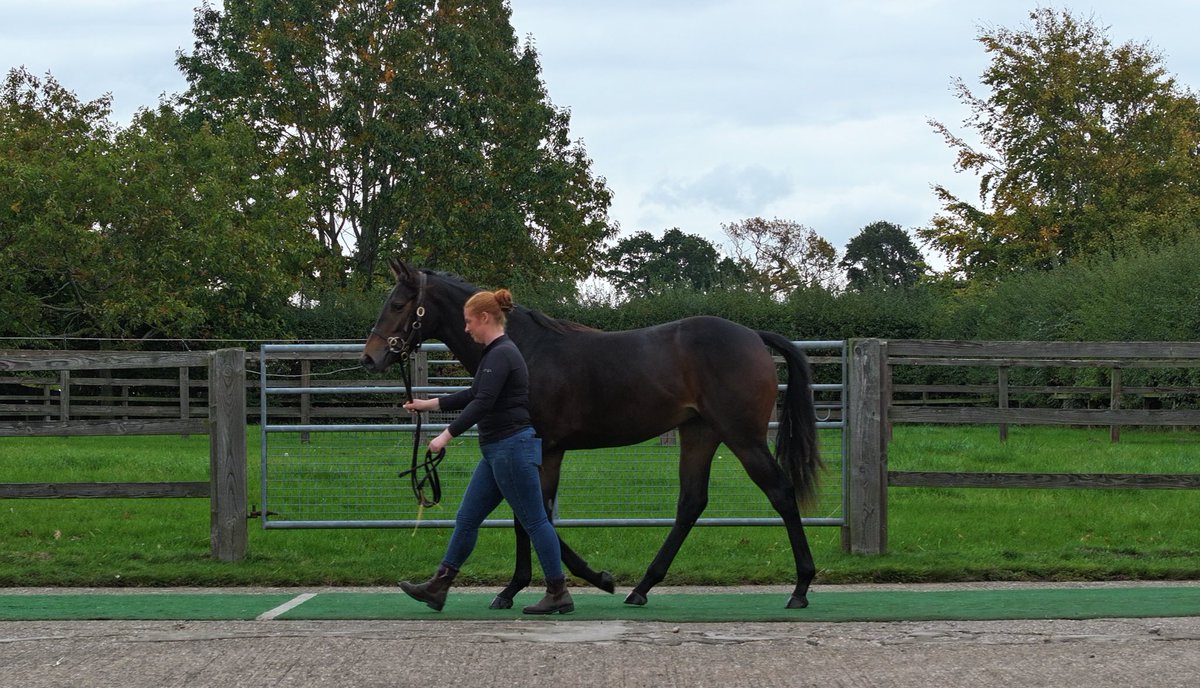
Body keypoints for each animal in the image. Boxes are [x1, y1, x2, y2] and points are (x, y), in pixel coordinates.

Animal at [361, 259, 822, 609]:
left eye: (398, 303)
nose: (370, 357)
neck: (526, 349)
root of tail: (753, 335)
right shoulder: (545, 453)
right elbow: (533, 516)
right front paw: (544, 585)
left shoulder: (542, 448)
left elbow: (530, 516)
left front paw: (560, 583)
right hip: (700, 433)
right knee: (691, 502)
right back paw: (642, 587)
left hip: (742, 435)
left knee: (780, 492)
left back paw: (801, 587)